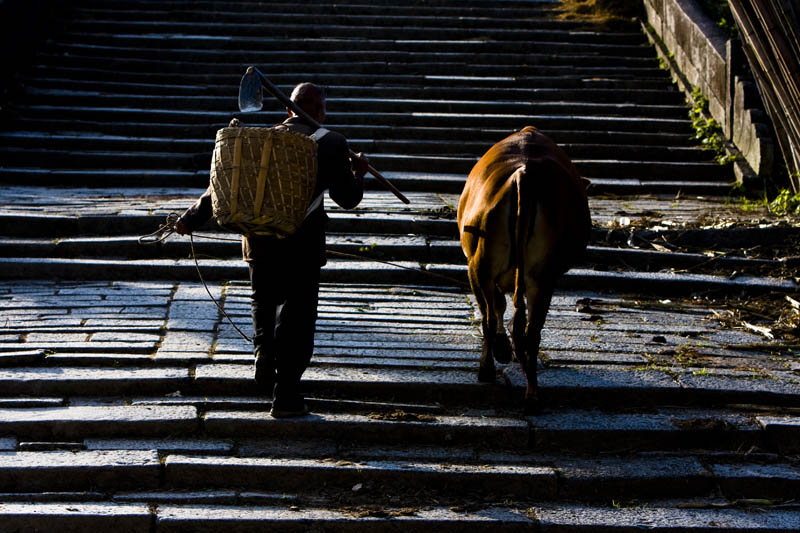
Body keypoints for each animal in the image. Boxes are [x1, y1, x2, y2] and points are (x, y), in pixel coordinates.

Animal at [456, 125, 588, 412]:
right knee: (529, 330)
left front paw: (503, 349)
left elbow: (498, 308)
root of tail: (523, 174)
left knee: (493, 319)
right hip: (540, 276)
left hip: (481, 265)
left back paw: (489, 371)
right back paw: (531, 393)